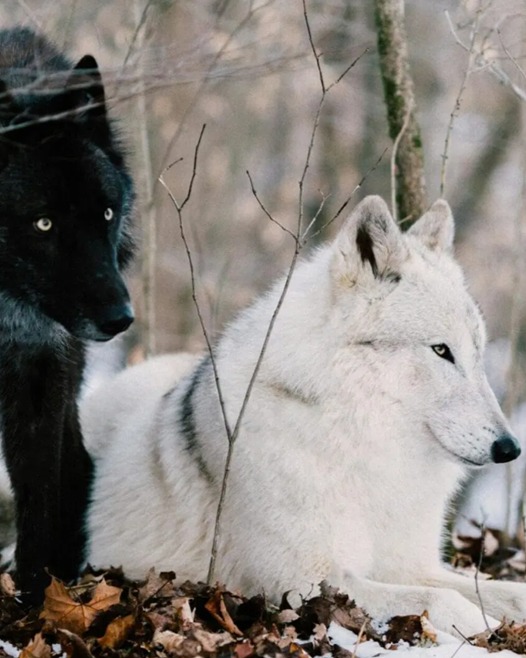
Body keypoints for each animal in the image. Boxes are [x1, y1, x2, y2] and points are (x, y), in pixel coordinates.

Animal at [83, 196, 526, 636]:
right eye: (440, 350)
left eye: (477, 353)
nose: (509, 448)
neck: (360, 445)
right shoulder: (304, 582)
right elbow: (442, 600)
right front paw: (486, 628)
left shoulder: (411, 566)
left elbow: (504, 590)